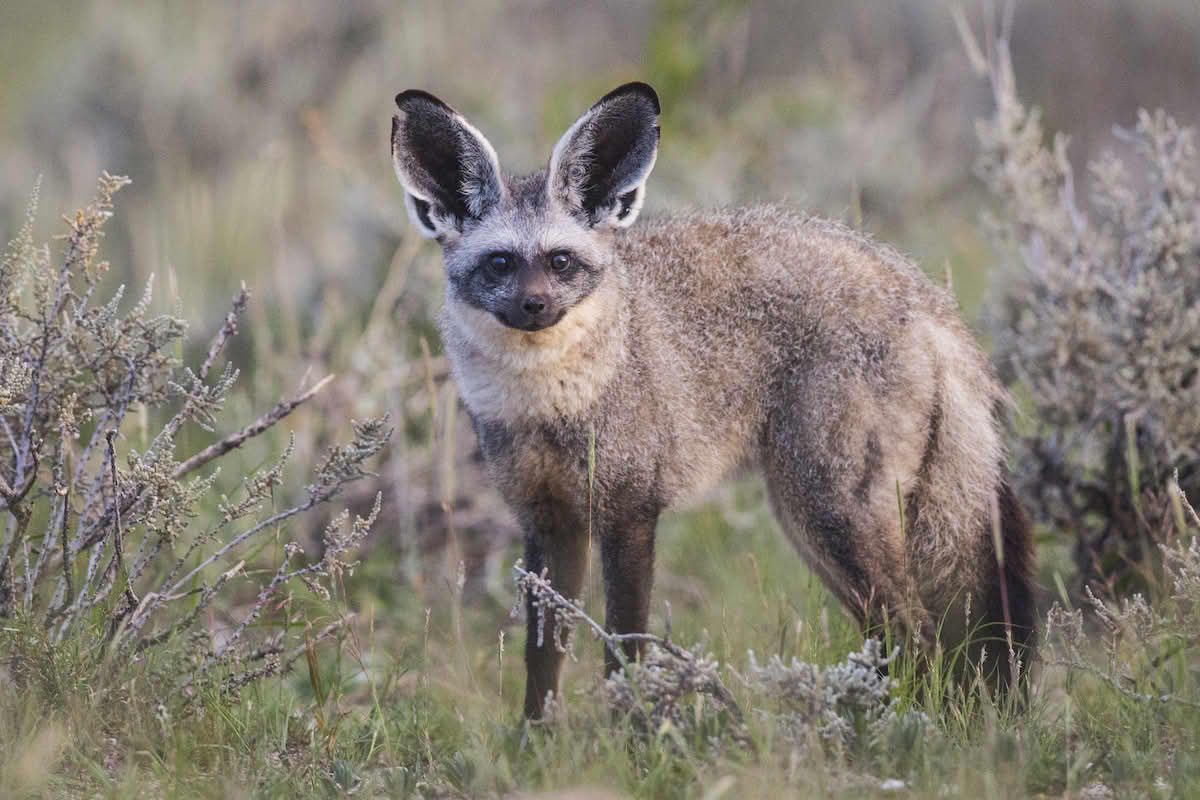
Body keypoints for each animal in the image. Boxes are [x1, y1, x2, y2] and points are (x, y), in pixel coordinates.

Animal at [388, 81, 1036, 719]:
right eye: (500, 263)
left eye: (560, 262)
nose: (534, 306)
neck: (549, 406)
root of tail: (922, 293)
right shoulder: (549, 523)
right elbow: (542, 665)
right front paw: (535, 742)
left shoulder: (630, 513)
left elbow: (624, 652)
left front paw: (631, 735)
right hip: (817, 526)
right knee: (900, 640)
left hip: (828, 514)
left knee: (916, 636)